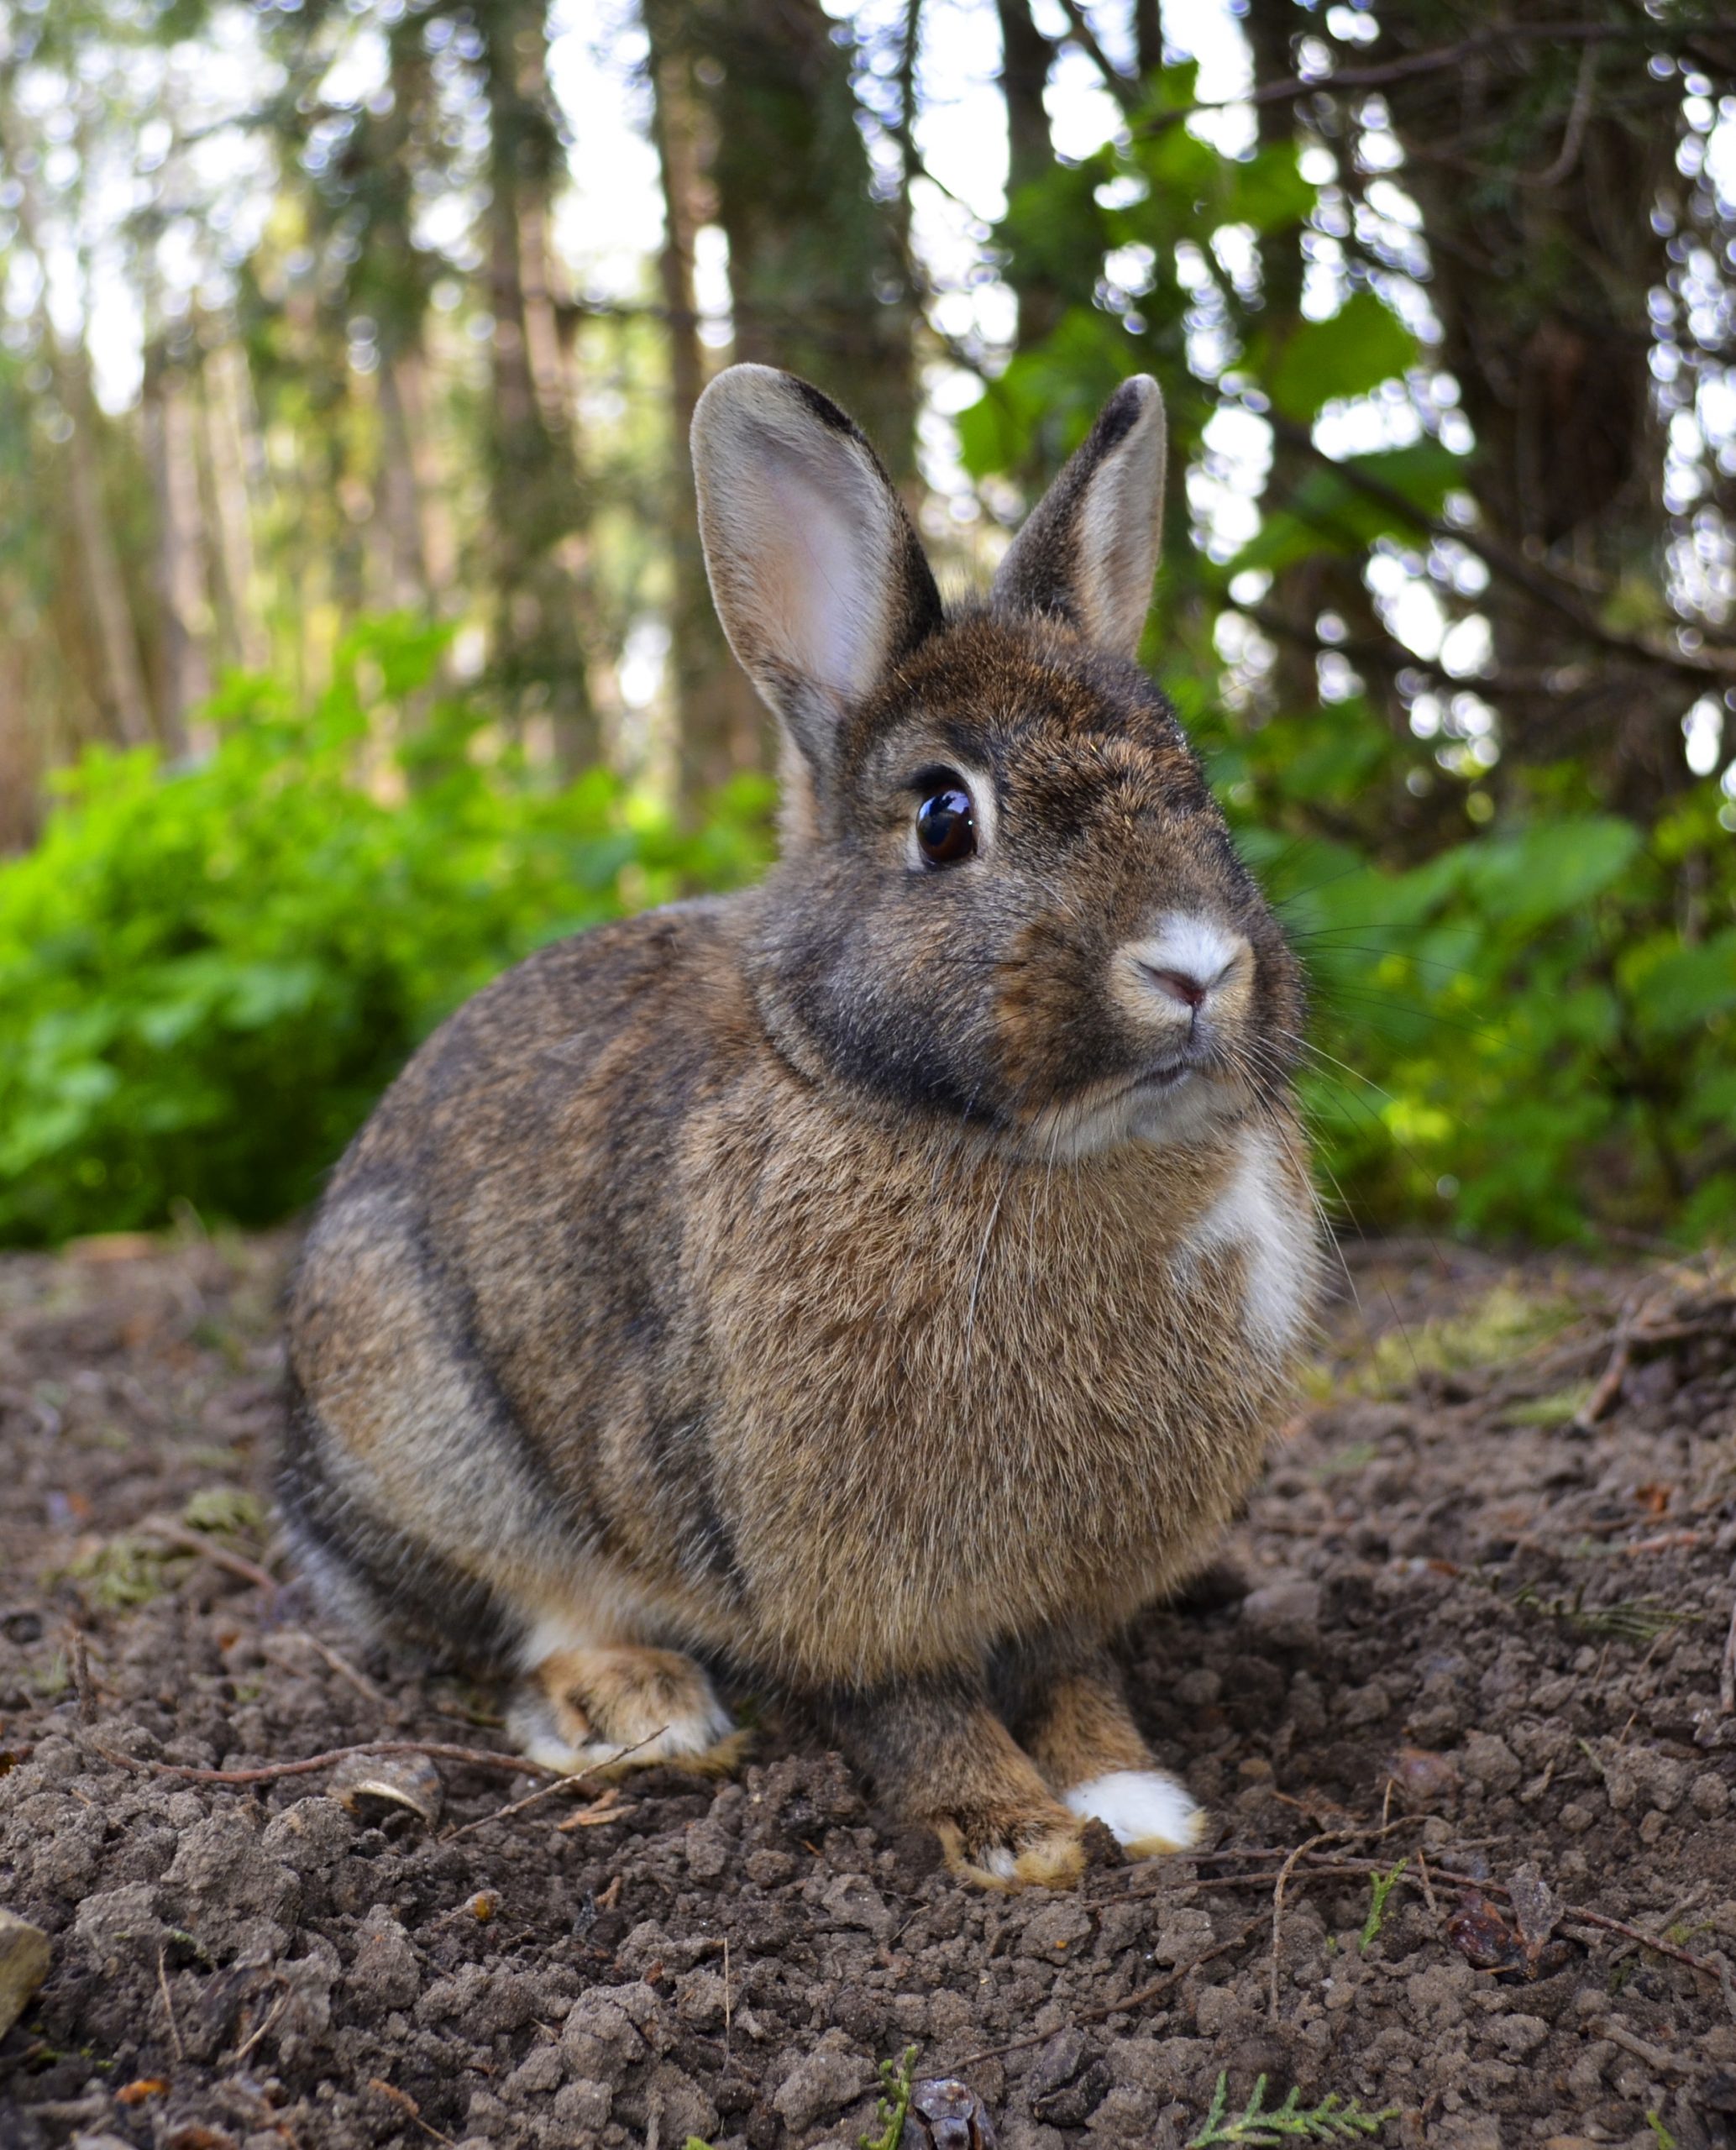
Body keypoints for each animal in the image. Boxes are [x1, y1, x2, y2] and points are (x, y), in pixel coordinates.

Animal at [277, 361, 1324, 1891]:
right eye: (943, 817)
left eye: (1198, 790)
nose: (1191, 966)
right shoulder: (827, 1565)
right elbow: (910, 1700)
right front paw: (1011, 1833)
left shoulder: (1074, 1590)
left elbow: (1071, 1679)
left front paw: (1131, 1797)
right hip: (419, 1417)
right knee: (523, 1613)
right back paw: (638, 1707)